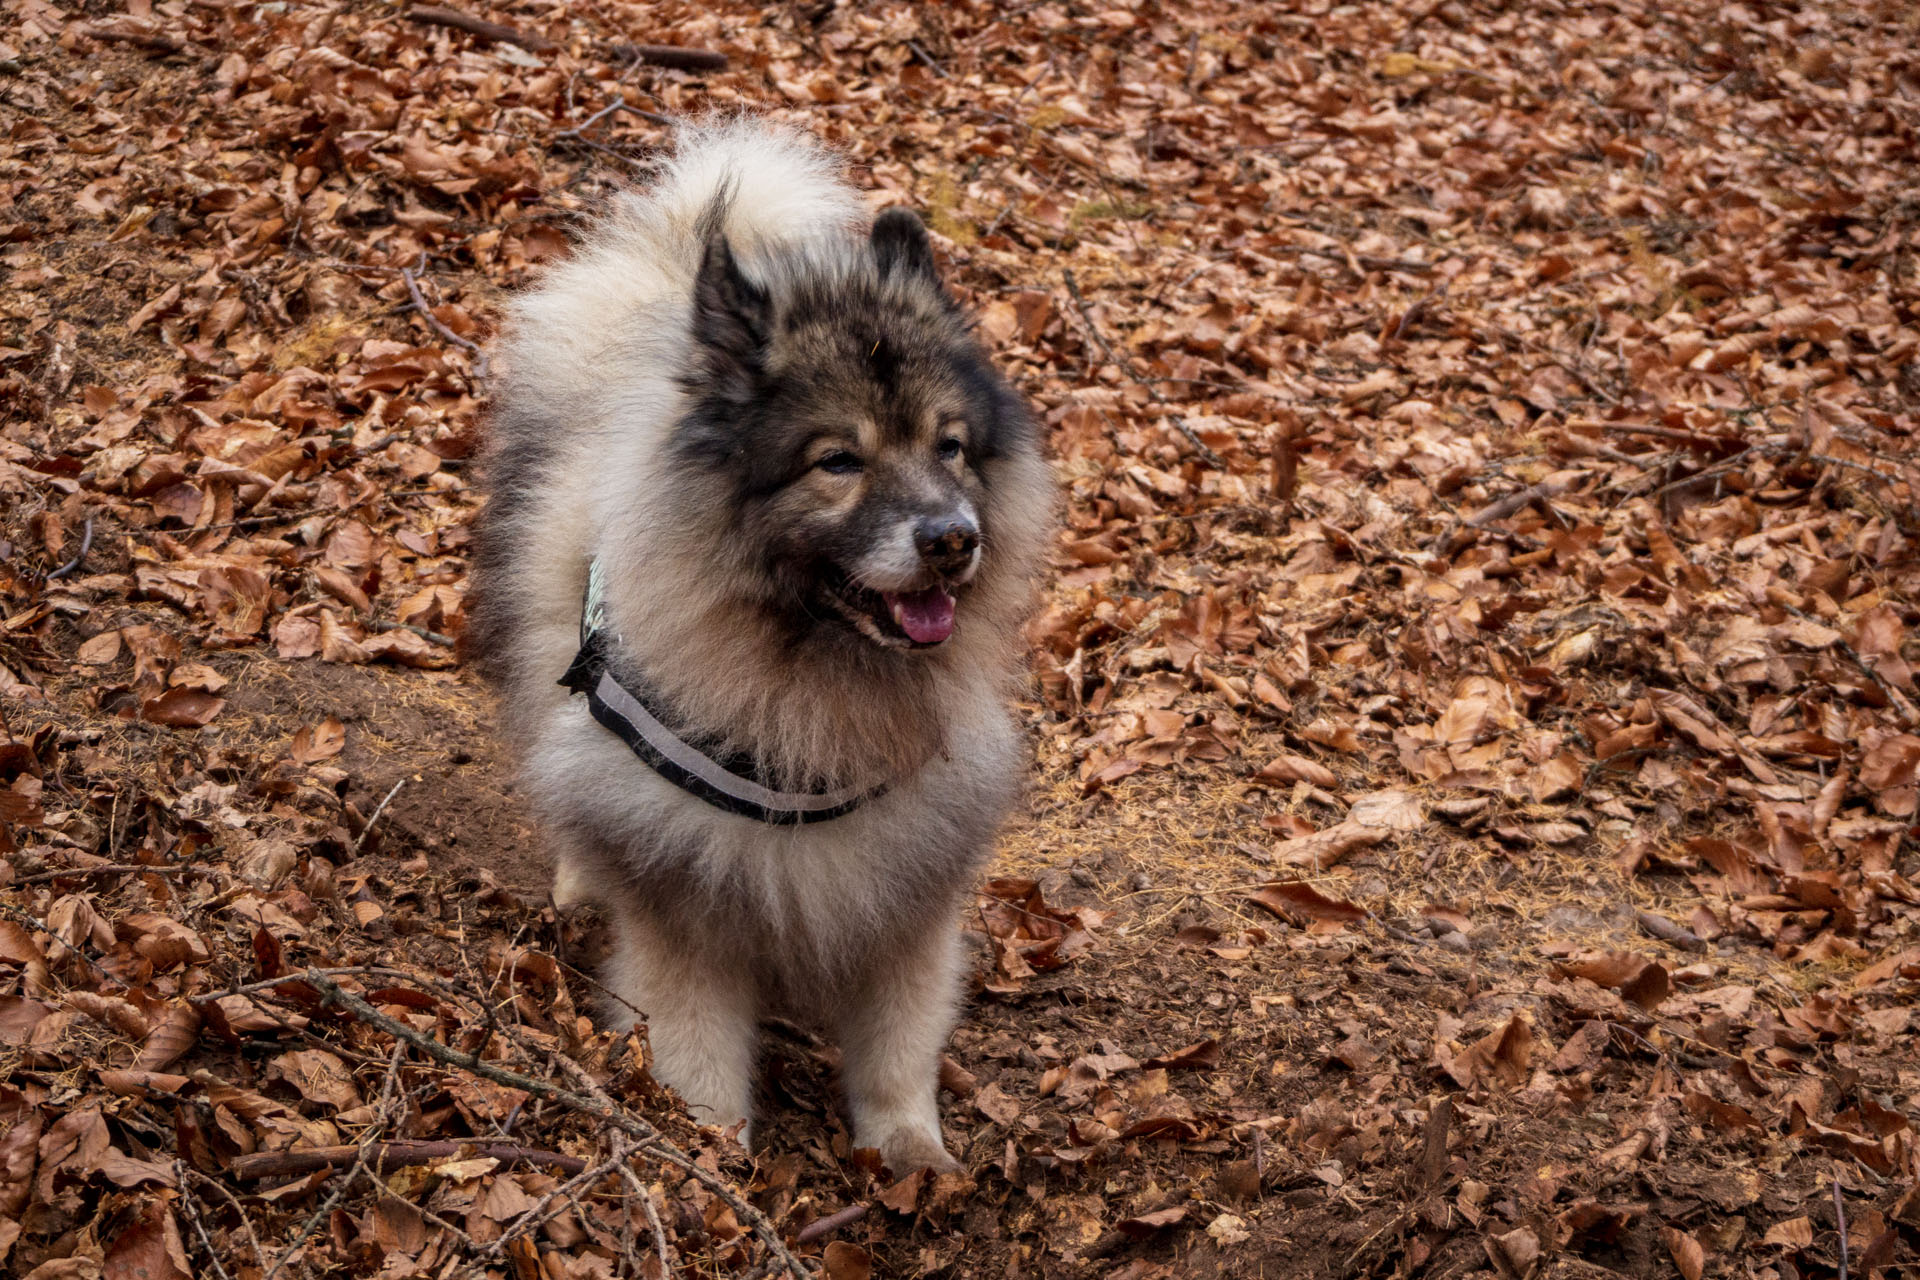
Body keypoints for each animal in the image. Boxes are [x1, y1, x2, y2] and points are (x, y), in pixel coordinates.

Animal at [474, 117, 1059, 1174]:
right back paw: (580, 877)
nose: (954, 539)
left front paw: (911, 1154)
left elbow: (899, 1039)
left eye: (950, 447)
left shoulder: (909, 884)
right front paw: (710, 1157)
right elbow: (696, 1046)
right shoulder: (686, 900)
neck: (813, 680)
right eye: (838, 461)